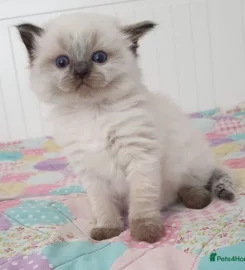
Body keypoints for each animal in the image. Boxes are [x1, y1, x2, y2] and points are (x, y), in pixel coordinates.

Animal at [17, 12, 235, 243]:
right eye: (62, 62)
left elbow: (141, 200)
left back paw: (197, 199)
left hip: (187, 161)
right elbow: (102, 205)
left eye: (99, 58)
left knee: (191, 185)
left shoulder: (139, 156)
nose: (81, 71)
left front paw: (145, 232)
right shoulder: (90, 170)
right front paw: (108, 229)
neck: (91, 111)